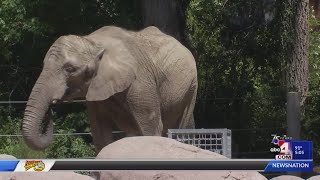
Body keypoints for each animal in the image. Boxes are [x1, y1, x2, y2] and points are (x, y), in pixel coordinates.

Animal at [21, 25, 198, 153]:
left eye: (69, 69)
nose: (51, 107)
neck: (93, 41)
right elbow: (100, 132)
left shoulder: (141, 82)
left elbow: (150, 128)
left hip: (191, 86)